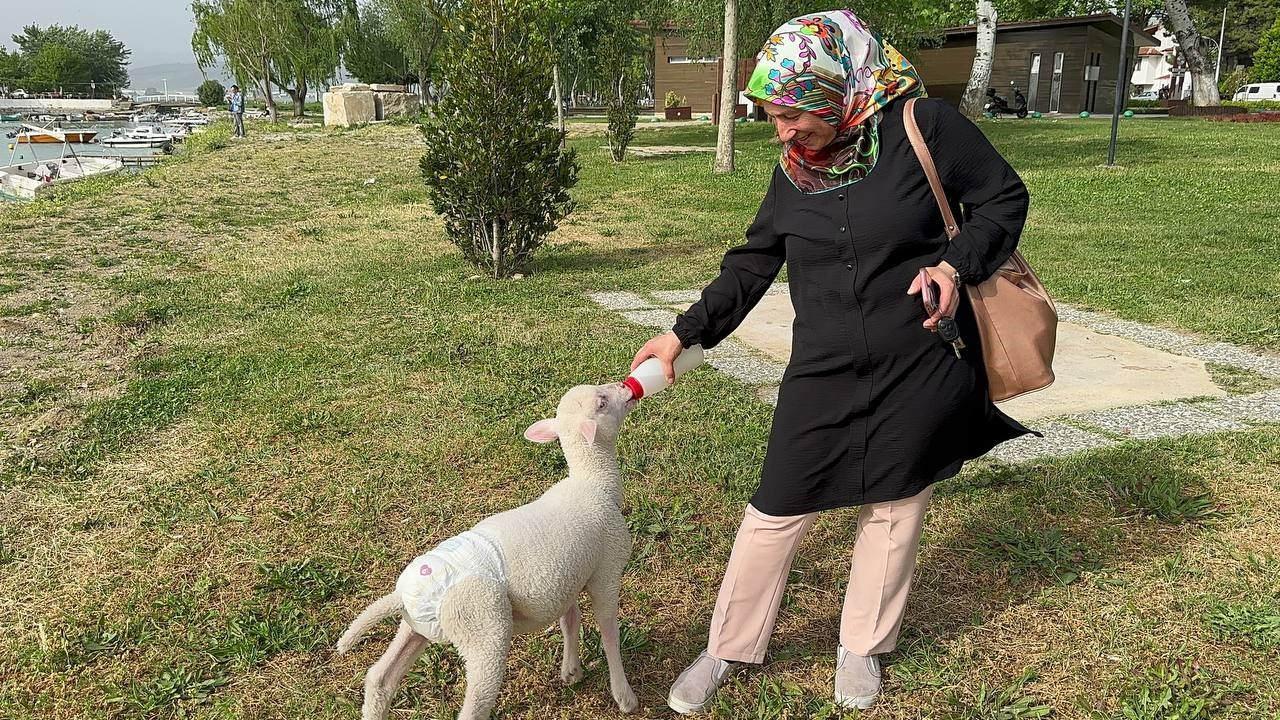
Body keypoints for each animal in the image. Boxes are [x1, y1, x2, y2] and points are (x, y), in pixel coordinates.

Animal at [337, 379, 645, 712]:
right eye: (602, 402)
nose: (624, 386)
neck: (593, 481)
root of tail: (403, 597)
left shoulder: (569, 578)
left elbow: (570, 621)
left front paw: (571, 670)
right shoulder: (606, 571)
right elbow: (609, 633)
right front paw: (624, 695)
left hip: (417, 626)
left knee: (380, 678)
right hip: (483, 627)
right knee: (475, 702)